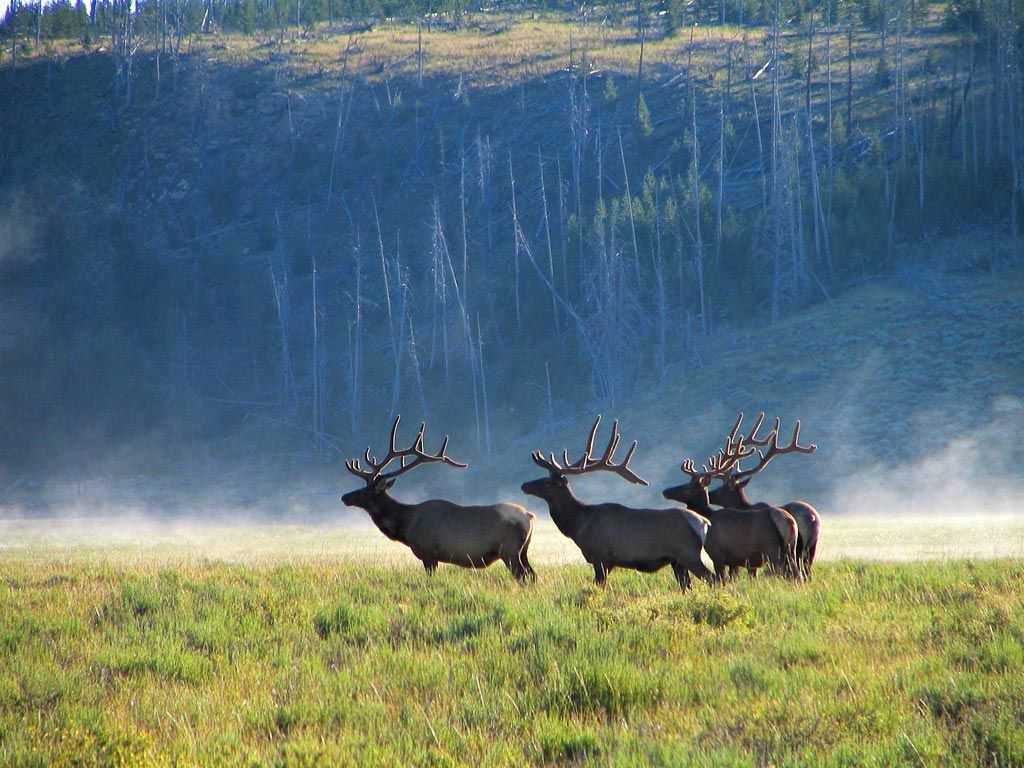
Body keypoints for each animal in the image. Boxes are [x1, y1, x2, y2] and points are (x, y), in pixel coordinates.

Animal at [342, 416, 537, 582]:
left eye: (365, 491)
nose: (345, 496)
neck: (405, 524)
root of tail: (529, 516)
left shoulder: (428, 552)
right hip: (523, 551)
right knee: (532, 575)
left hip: (509, 550)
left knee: (523, 575)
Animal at [520, 416, 713, 590]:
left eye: (548, 482)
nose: (524, 485)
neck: (578, 524)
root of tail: (703, 523)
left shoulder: (601, 556)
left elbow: (599, 586)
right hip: (678, 560)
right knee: (688, 584)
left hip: (688, 553)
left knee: (712, 577)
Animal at [662, 419, 801, 582]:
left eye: (688, 487)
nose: (666, 491)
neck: (708, 518)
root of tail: (789, 522)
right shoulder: (735, 560)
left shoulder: (718, 555)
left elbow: (721, 580)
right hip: (792, 549)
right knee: (797, 574)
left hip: (773, 549)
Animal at [707, 412, 822, 579]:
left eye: (723, 487)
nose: (709, 494)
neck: (743, 506)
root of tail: (812, 519)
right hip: (811, 548)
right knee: (806, 572)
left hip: (796, 547)